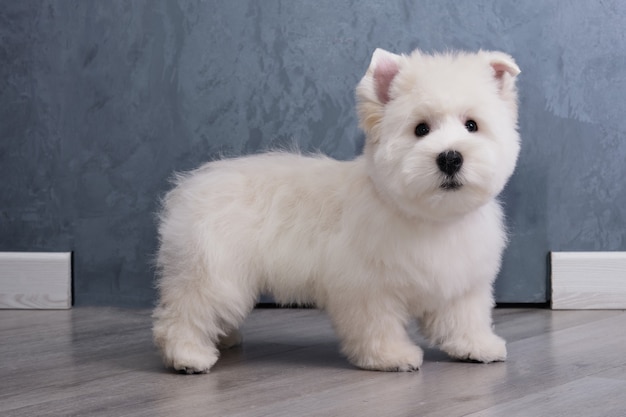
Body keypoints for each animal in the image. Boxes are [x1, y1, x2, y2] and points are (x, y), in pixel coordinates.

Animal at [154, 47, 520, 372]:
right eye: (421, 129)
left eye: (472, 125)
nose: (450, 157)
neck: (429, 216)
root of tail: (190, 188)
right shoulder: (368, 287)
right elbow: (378, 325)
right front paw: (390, 357)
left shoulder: (463, 282)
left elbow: (464, 318)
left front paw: (477, 346)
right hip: (213, 272)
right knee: (186, 311)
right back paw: (188, 356)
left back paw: (223, 339)